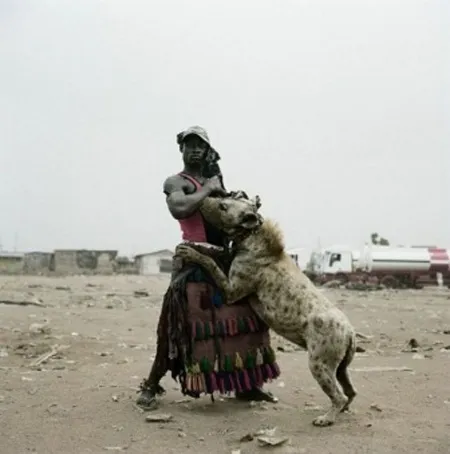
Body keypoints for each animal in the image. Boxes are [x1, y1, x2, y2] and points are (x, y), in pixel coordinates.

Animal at [175, 193, 357, 427]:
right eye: (223, 197)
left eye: (223, 205)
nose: (204, 198)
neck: (250, 236)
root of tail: (351, 332)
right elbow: (215, 251)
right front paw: (194, 246)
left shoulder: (232, 289)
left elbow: (211, 263)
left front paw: (189, 252)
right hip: (341, 363)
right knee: (350, 389)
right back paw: (343, 409)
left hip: (319, 361)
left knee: (338, 393)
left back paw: (326, 418)